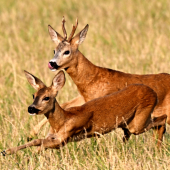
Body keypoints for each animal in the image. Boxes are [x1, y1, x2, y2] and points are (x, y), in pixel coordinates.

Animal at [0, 70, 167, 155]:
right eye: (33, 95)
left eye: (46, 97)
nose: (31, 108)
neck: (62, 120)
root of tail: (152, 92)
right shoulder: (54, 136)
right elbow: (37, 141)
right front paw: (9, 152)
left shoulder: (64, 139)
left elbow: (39, 142)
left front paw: (19, 154)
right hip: (129, 123)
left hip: (138, 122)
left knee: (162, 119)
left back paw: (158, 148)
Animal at [30, 16, 170, 145]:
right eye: (54, 50)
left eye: (67, 51)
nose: (52, 63)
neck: (93, 78)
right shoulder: (85, 98)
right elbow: (65, 104)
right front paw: (32, 133)